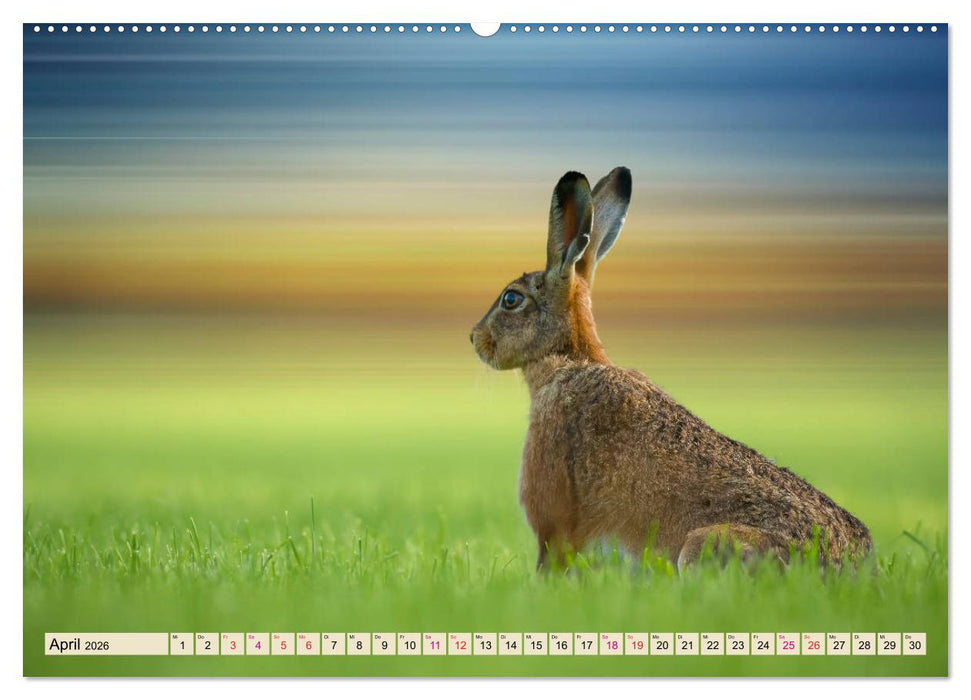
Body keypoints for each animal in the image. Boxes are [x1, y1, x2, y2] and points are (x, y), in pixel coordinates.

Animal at [470, 167, 872, 571]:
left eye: (511, 299)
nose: (474, 338)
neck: (567, 359)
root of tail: (846, 564)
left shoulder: (553, 520)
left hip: (703, 546)